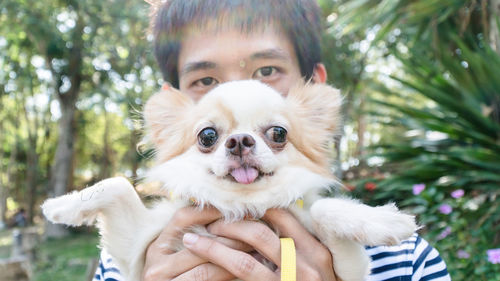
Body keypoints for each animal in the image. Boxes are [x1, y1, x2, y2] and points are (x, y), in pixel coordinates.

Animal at [42, 80, 418, 278]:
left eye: (278, 133)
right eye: (207, 135)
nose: (239, 140)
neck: (243, 207)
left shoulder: (348, 270)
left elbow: (324, 208)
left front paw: (383, 221)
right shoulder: (136, 253)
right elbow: (117, 183)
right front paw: (61, 206)